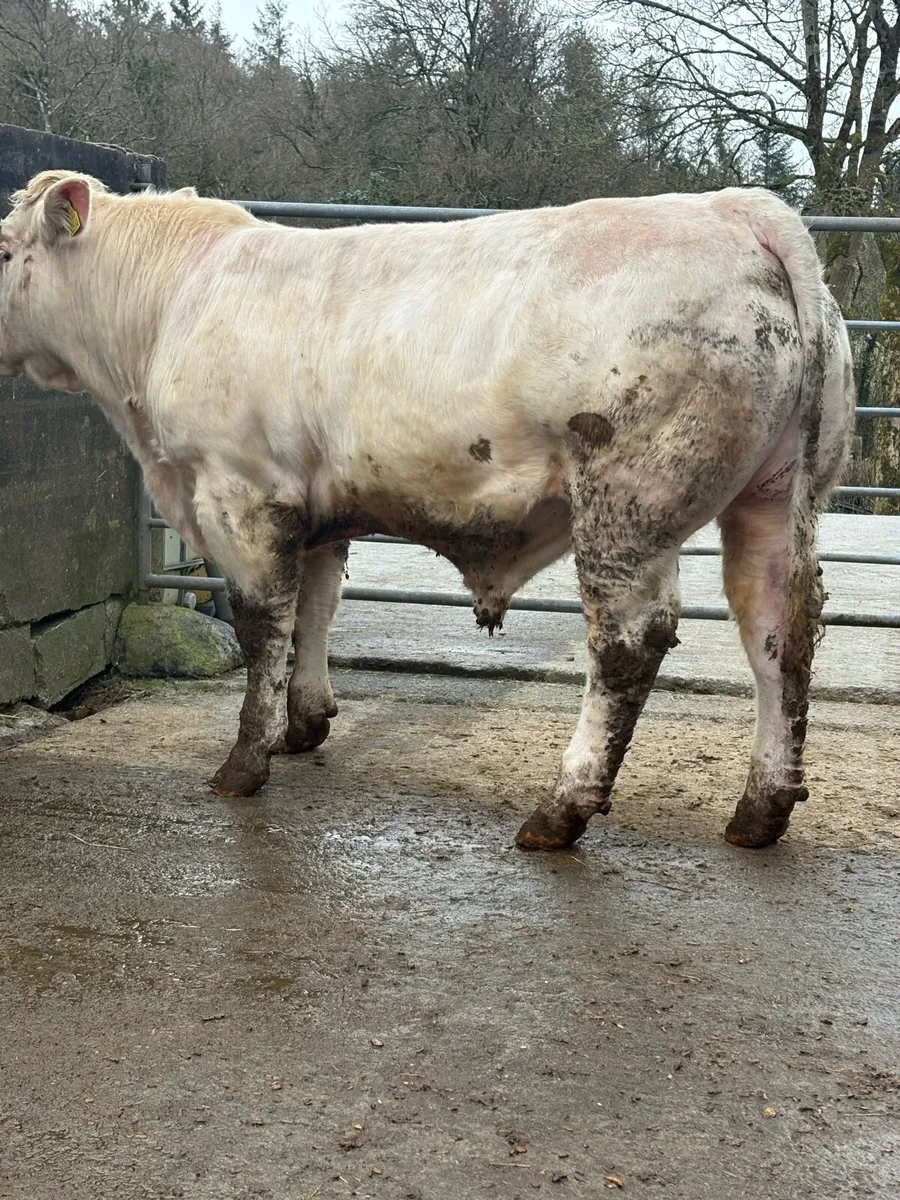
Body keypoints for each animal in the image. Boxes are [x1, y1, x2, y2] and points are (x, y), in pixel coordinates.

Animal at [0, 171, 855, 850]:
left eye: (4, 251)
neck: (166, 306)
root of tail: (735, 210)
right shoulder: (315, 508)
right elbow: (317, 610)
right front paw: (303, 725)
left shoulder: (240, 492)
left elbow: (262, 624)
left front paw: (244, 763)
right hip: (776, 495)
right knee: (778, 629)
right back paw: (762, 810)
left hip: (628, 503)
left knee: (628, 644)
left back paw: (561, 811)